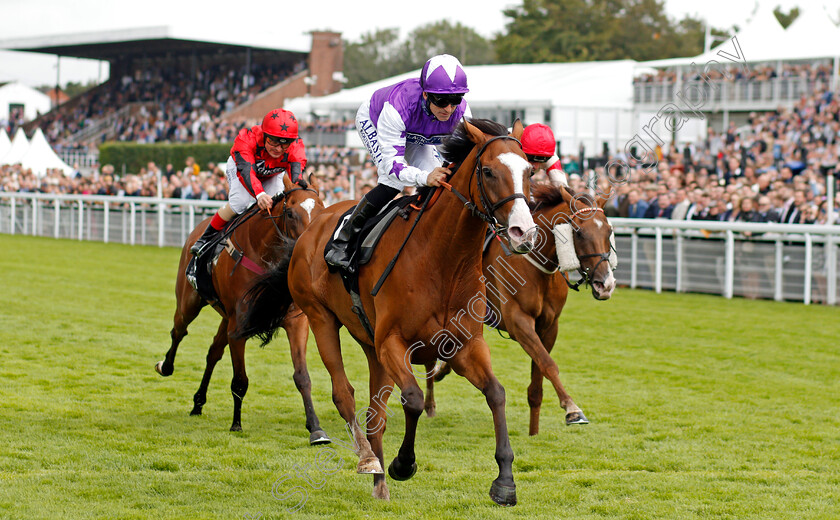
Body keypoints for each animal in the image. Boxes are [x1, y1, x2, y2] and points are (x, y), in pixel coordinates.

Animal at [156, 176, 330, 442]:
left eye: (321, 210)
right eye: (290, 213)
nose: (313, 249)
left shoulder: (296, 322)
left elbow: (302, 376)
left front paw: (316, 428)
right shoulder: (238, 330)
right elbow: (240, 380)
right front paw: (236, 423)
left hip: (225, 317)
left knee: (213, 352)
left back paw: (198, 402)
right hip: (189, 302)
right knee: (179, 331)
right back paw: (166, 366)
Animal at [236, 119, 540, 504]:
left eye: (530, 171)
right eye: (488, 171)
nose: (523, 232)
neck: (443, 260)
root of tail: (311, 228)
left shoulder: (464, 345)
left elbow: (496, 393)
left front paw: (504, 481)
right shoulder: (393, 342)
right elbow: (413, 399)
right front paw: (403, 464)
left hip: (370, 344)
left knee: (374, 413)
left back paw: (379, 483)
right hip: (320, 319)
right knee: (344, 395)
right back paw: (369, 460)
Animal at [426, 182, 616, 434]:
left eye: (609, 232)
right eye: (579, 232)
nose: (606, 285)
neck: (537, 266)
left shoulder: (548, 326)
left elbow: (538, 377)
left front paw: (533, 431)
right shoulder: (519, 322)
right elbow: (548, 364)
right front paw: (572, 408)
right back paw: (429, 403)